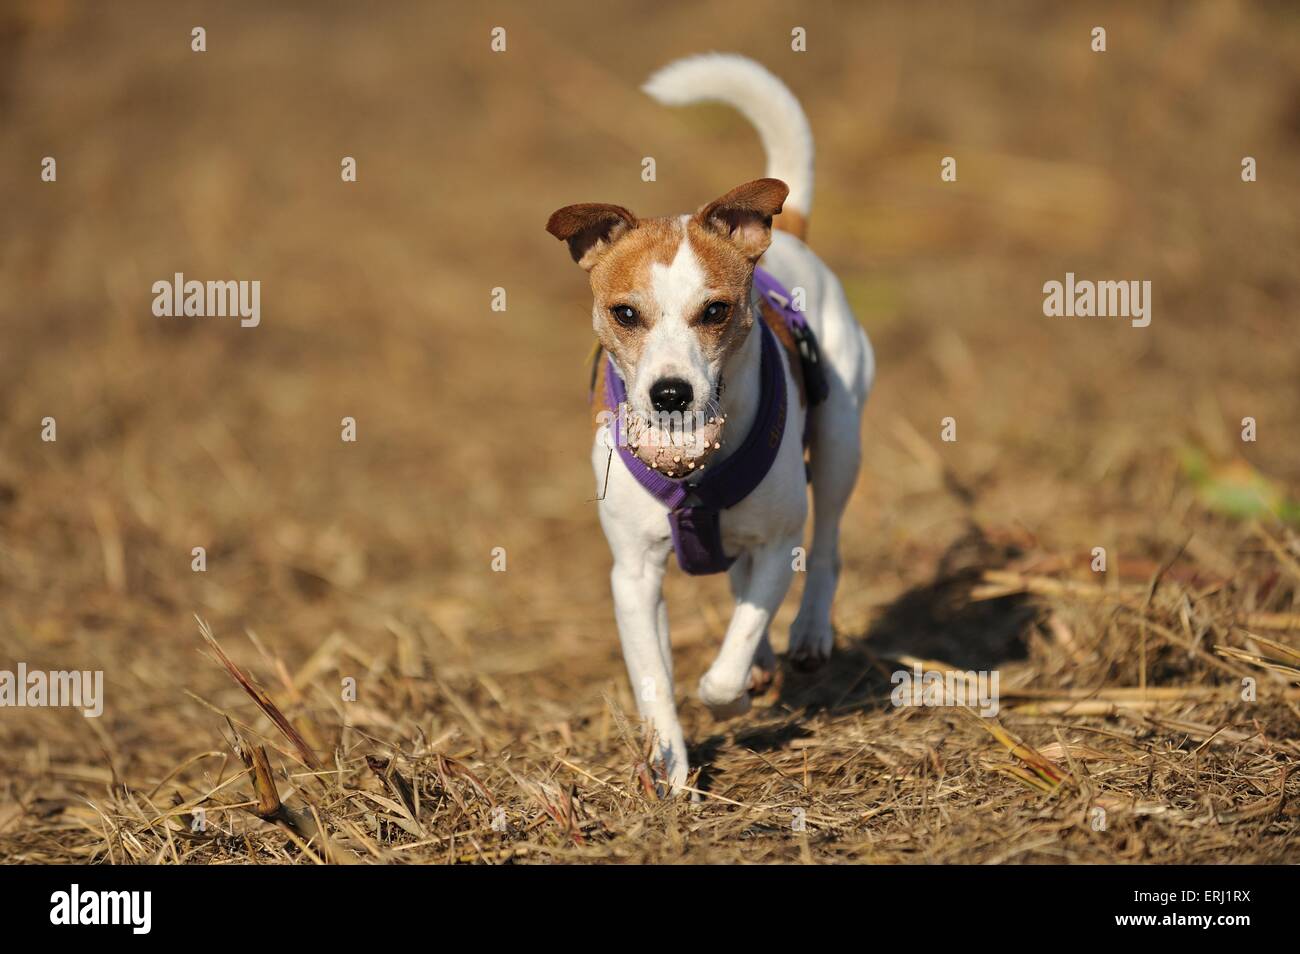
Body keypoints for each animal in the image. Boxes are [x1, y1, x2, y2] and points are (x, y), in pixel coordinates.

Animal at [546, 54, 873, 800]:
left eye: (716, 311)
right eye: (625, 313)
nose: (671, 393)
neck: (693, 471)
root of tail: (791, 232)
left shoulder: (780, 544)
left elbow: (728, 661)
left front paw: (732, 692)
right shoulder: (633, 575)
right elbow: (653, 679)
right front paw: (669, 763)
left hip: (840, 440)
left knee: (829, 540)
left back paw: (806, 634)